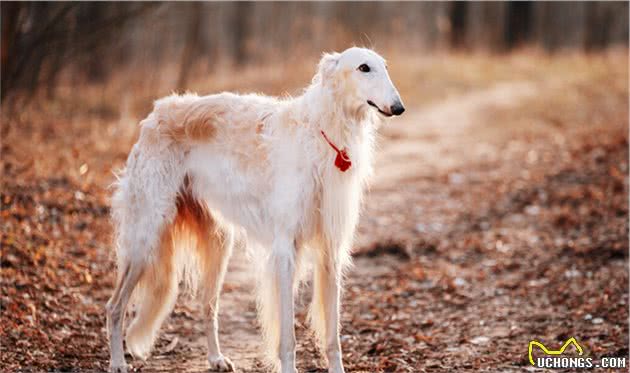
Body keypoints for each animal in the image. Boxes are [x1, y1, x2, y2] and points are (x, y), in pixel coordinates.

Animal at [105, 46, 404, 372]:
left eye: (385, 67)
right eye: (364, 67)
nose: (399, 107)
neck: (324, 133)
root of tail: (155, 113)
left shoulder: (330, 249)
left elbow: (332, 336)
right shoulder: (285, 248)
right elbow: (287, 337)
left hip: (218, 242)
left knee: (208, 305)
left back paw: (216, 358)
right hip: (145, 237)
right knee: (114, 306)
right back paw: (117, 361)